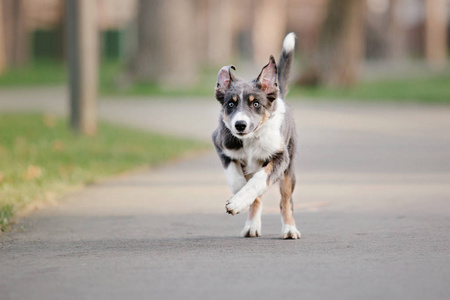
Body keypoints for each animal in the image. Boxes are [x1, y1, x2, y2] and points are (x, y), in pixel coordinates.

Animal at [213, 32, 300, 239]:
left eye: (256, 104)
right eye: (230, 104)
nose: (240, 125)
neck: (250, 139)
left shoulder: (280, 157)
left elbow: (259, 181)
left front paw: (238, 201)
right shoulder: (220, 143)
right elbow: (234, 174)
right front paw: (239, 195)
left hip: (289, 168)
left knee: (286, 200)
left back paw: (290, 229)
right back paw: (251, 226)